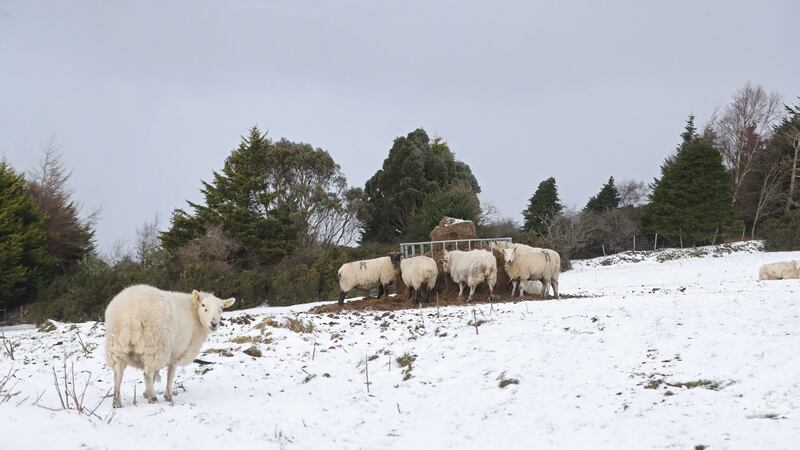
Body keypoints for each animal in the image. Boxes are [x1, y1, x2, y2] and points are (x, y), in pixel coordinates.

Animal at [104, 284, 234, 408]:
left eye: (221, 308)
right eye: (203, 305)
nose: (214, 323)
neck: (194, 315)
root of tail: (130, 315)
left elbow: (157, 373)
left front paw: (146, 393)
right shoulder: (176, 352)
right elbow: (170, 374)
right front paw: (168, 396)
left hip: (116, 344)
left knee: (118, 374)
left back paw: (117, 401)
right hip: (155, 344)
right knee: (147, 373)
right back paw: (153, 398)